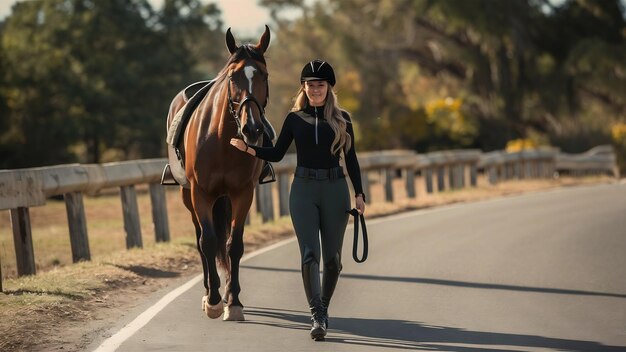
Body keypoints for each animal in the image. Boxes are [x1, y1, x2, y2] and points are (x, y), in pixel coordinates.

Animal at [167, 26, 270, 320]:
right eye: (233, 76)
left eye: (264, 75)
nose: (252, 129)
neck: (223, 139)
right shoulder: (200, 193)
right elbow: (209, 242)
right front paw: (213, 300)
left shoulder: (243, 194)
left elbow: (234, 245)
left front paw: (233, 301)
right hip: (187, 196)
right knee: (200, 239)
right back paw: (207, 292)